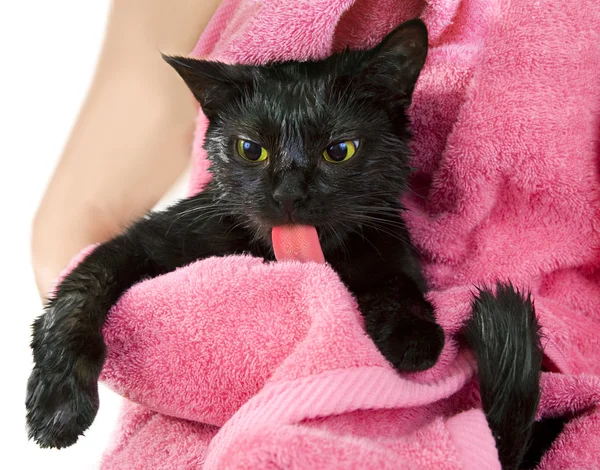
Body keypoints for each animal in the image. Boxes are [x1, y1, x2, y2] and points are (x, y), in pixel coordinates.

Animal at [28, 19, 544, 470]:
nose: (289, 194)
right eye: (250, 149)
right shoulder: (150, 239)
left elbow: (397, 280)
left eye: (340, 150)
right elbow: (79, 290)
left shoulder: (390, 241)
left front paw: (411, 333)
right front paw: (57, 404)